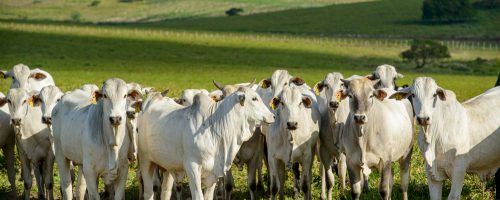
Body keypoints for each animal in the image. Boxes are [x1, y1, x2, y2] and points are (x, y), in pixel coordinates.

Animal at [138, 86, 274, 199]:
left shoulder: (214, 173)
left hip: (167, 167)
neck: (214, 128)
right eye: (254, 98)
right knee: (149, 192)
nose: (272, 116)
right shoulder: (192, 167)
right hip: (146, 161)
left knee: (165, 192)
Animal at [312, 72, 348, 200]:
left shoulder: (342, 153)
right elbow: (330, 179)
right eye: (326, 85)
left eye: (341, 84)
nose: (333, 103)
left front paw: (343, 195)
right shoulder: (324, 151)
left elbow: (342, 173)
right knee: (322, 170)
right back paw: (322, 195)